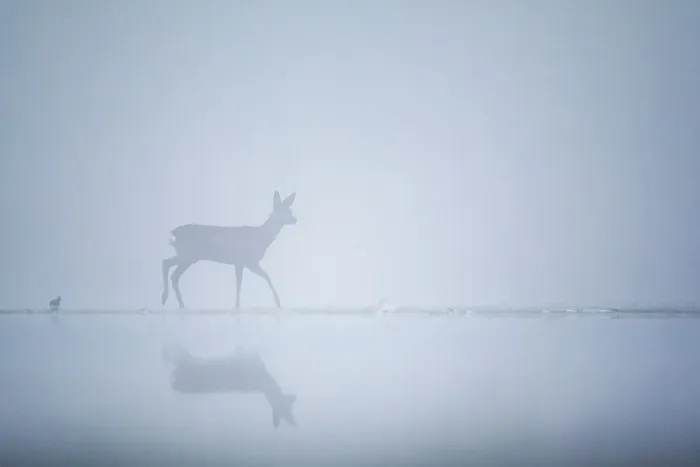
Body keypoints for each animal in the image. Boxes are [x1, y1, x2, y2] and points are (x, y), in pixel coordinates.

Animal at [161, 191, 297, 309]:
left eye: (290, 210)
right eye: (283, 211)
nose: (295, 219)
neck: (261, 237)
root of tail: (174, 232)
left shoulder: (242, 262)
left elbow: (244, 281)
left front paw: (237, 305)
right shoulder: (247, 261)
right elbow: (260, 278)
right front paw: (277, 302)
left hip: (187, 255)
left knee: (170, 270)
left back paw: (175, 302)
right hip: (188, 255)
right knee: (169, 267)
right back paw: (169, 299)